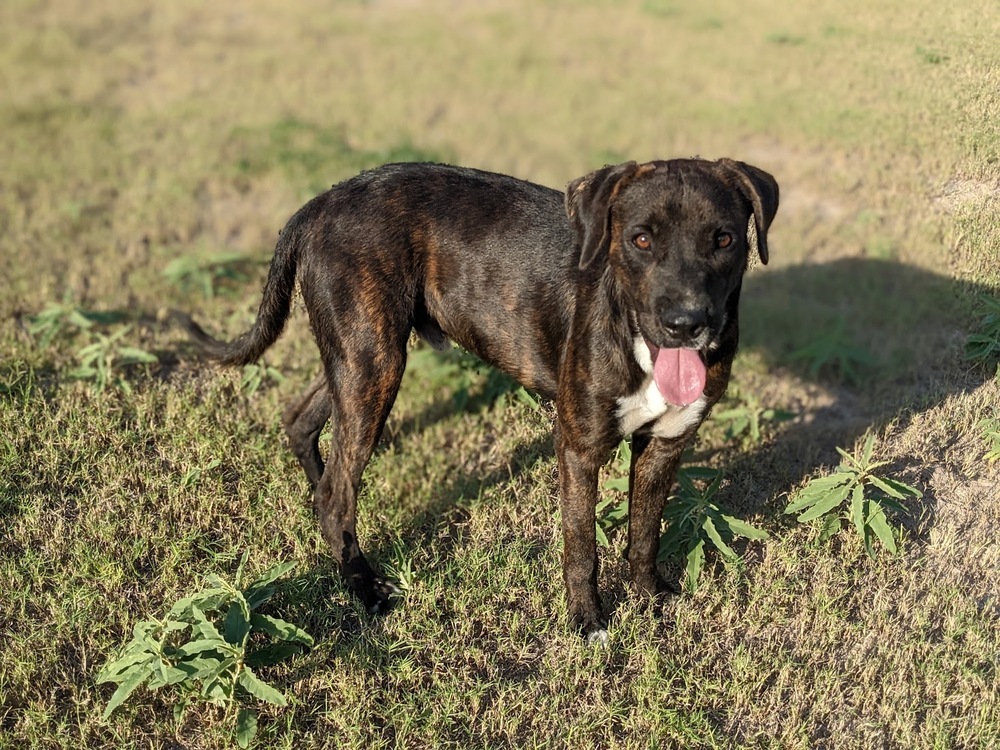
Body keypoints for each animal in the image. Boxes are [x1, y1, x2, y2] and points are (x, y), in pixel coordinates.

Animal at [184, 160, 776, 648]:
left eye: (724, 238)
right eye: (641, 239)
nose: (686, 323)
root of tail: (319, 203)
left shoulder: (666, 445)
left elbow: (645, 532)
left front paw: (650, 596)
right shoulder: (579, 447)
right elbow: (581, 544)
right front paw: (588, 622)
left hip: (360, 357)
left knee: (303, 426)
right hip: (374, 361)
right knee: (337, 491)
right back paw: (363, 586)